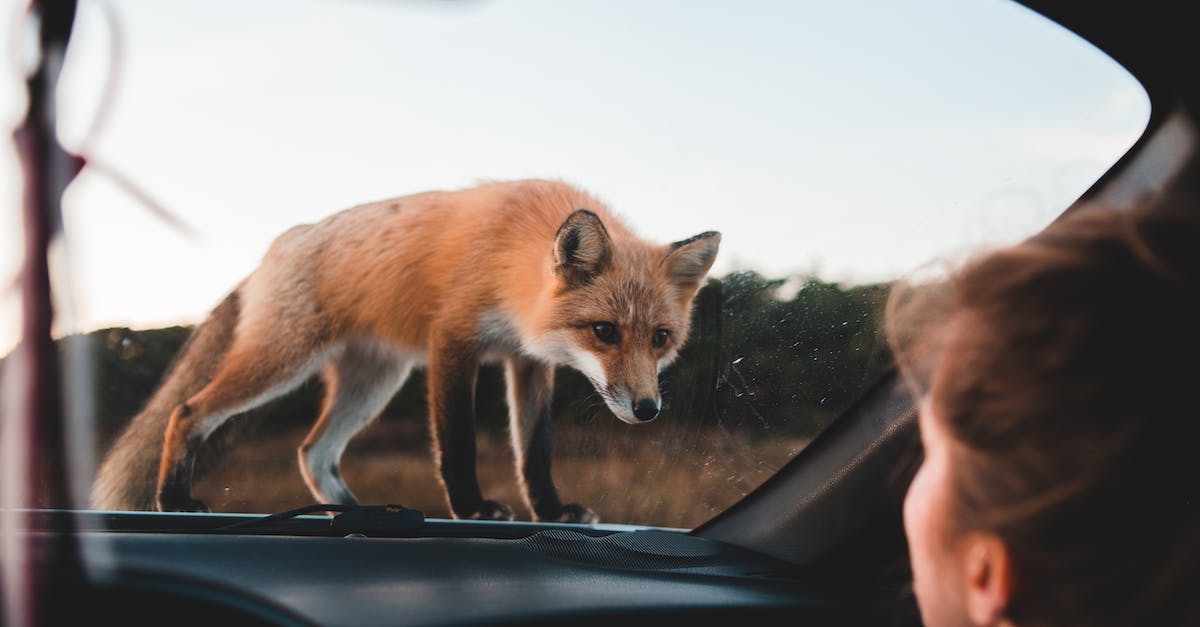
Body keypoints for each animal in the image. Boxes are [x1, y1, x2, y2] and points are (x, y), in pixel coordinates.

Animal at [91, 179, 720, 522]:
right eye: (605, 332)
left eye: (660, 338)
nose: (647, 410)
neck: (510, 257)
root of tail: (279, 246)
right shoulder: (453, 340)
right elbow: (458, 443)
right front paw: (472, 508)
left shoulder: (527, 360)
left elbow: (534, 453)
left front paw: (550, 512)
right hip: (284, 362)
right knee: (187, 410)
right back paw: (173, 499)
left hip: (374, 382)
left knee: (313, 452)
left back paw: (349, 513)